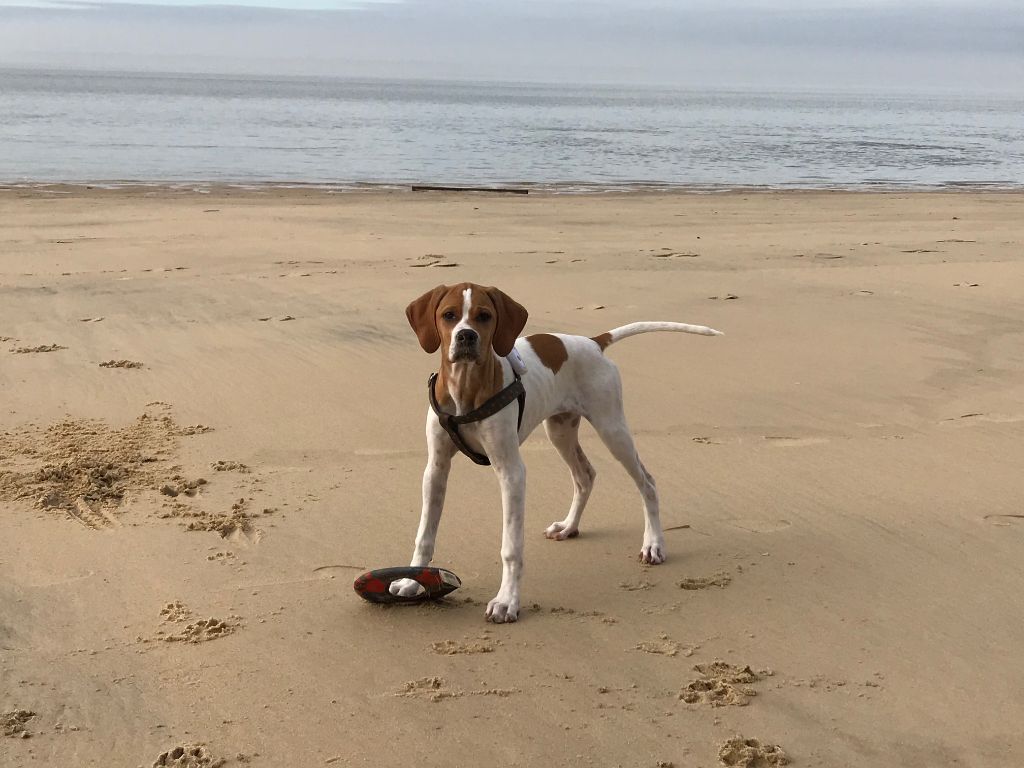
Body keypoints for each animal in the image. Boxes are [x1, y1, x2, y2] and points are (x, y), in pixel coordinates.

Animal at [395, 284, 724, 626]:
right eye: (449, 315)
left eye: (484, 316)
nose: (466, 336)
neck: (465, 389)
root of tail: (593, 343)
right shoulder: (436, 468)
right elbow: (425, 534)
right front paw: (411, 581)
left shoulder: (511, 472)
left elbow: (511, 547)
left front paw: (507, 601)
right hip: (560, 430)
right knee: (585, 475)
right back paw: (568, 526)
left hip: (612, 428)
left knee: (647, 482)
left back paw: (654, 544)